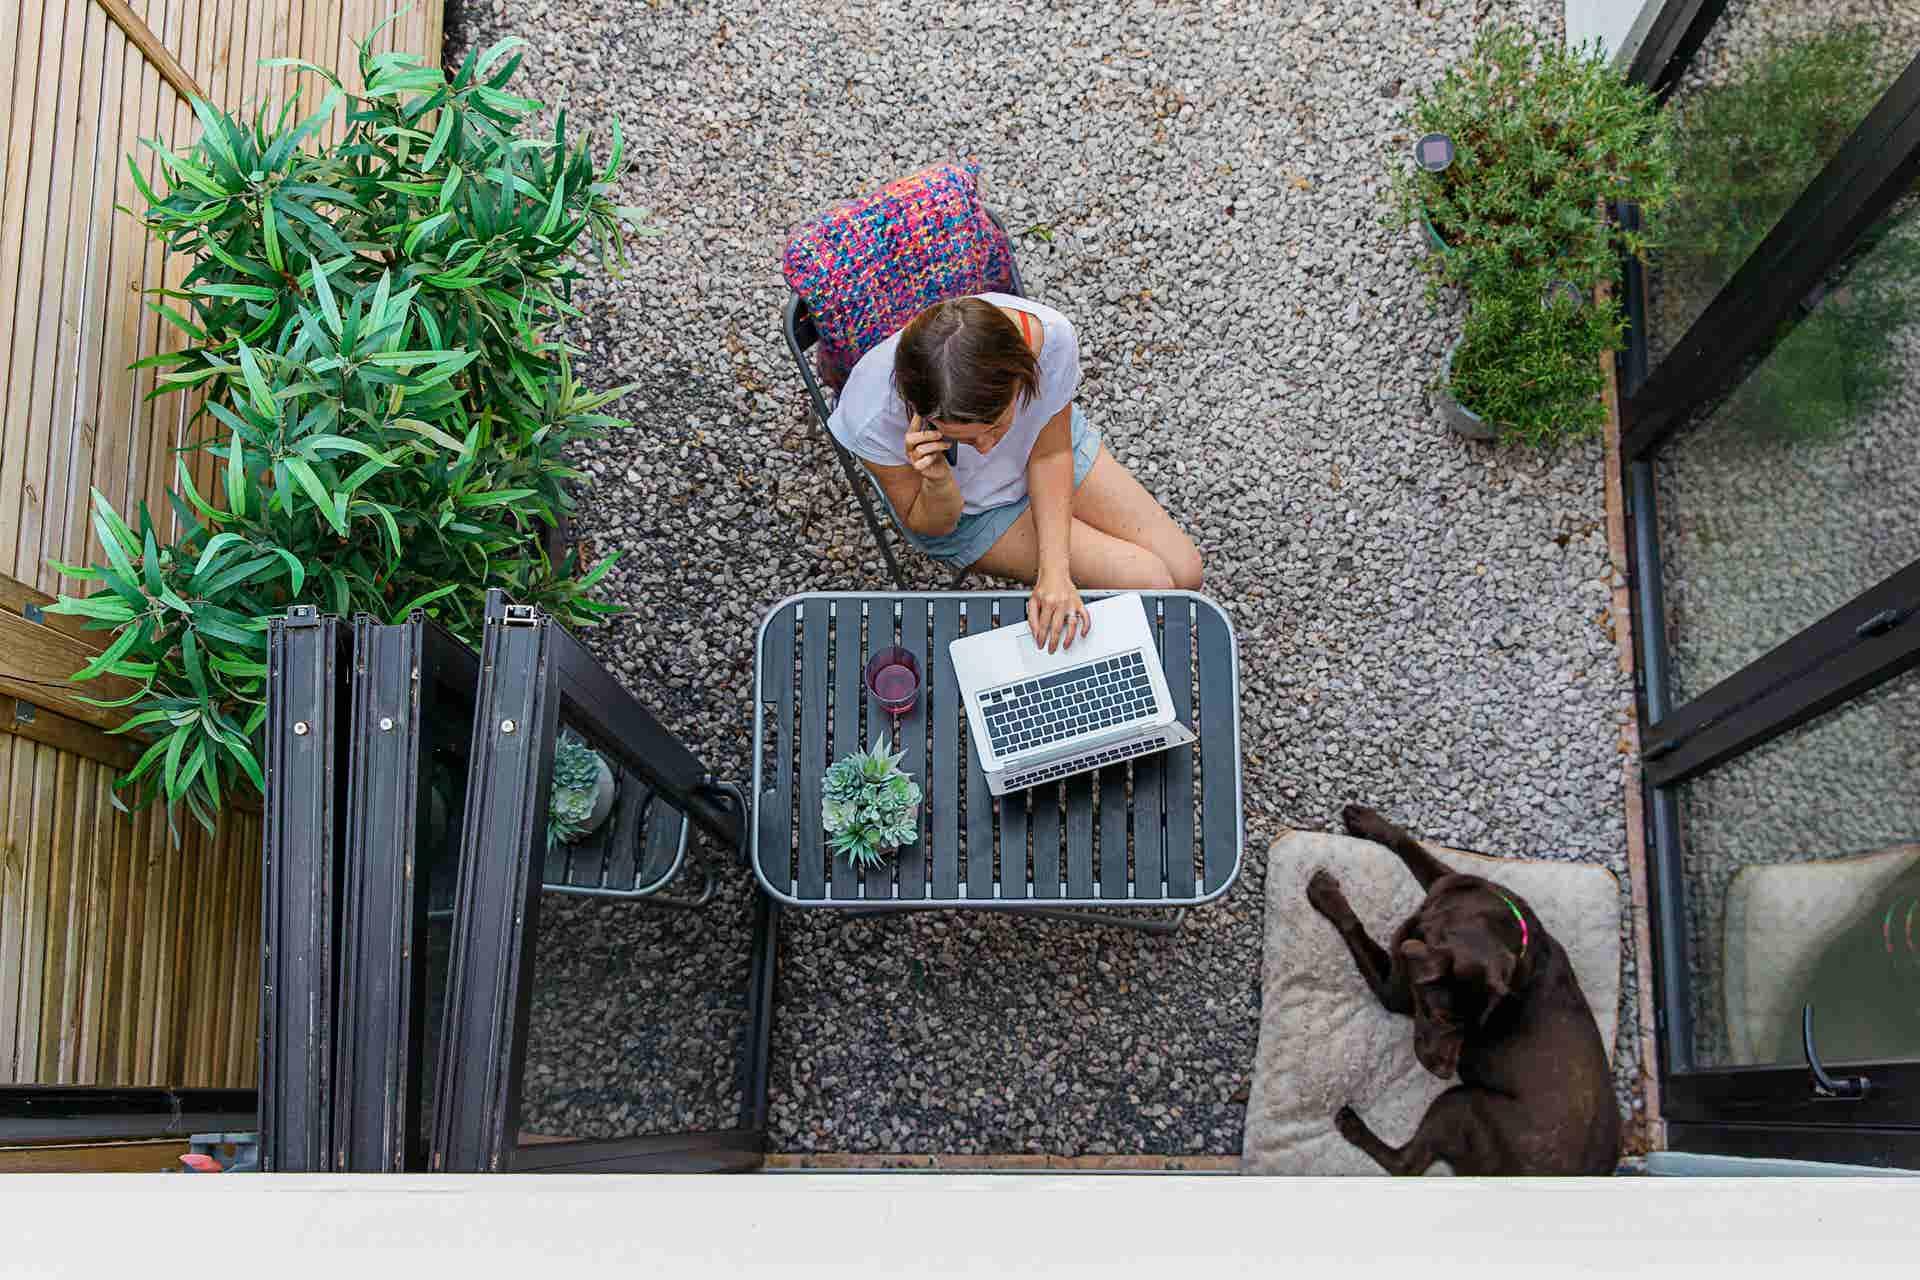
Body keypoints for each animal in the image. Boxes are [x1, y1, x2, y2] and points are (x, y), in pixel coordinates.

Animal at [1305, 805, 1620, 1174]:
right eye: (1438, 1015)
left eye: (1473, 1027)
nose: (1444, 1071)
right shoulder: (1451, 883)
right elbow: (1412, 847)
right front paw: (1366, 819)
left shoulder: (1394, 991)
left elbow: (1354, 926)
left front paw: (1326, 894)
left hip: (1461, 1105)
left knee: (1406, 1164)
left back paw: (1354, 1126)